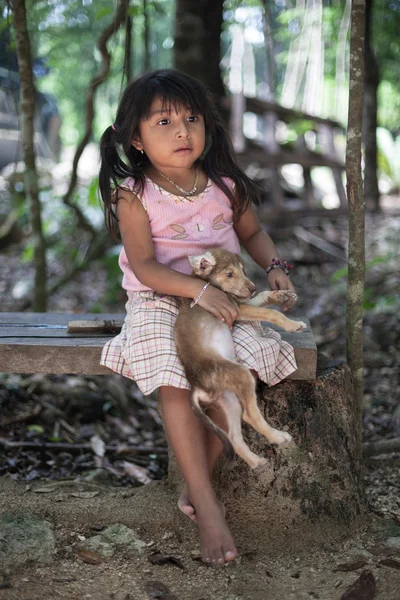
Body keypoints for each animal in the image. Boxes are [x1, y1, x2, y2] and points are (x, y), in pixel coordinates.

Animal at [174, 248, 306, 468]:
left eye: (243, 270)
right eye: (229, 274)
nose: (252, 287)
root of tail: (198, 386)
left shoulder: (241, 304)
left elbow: (263, 297)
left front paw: (280, 294)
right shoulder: (236, 308)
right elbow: (272, 314)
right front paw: (293, 325)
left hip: (229, 400)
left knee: (234, 437)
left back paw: (256, 462)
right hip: (241, 375)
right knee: (250, 415)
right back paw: (278, 437)